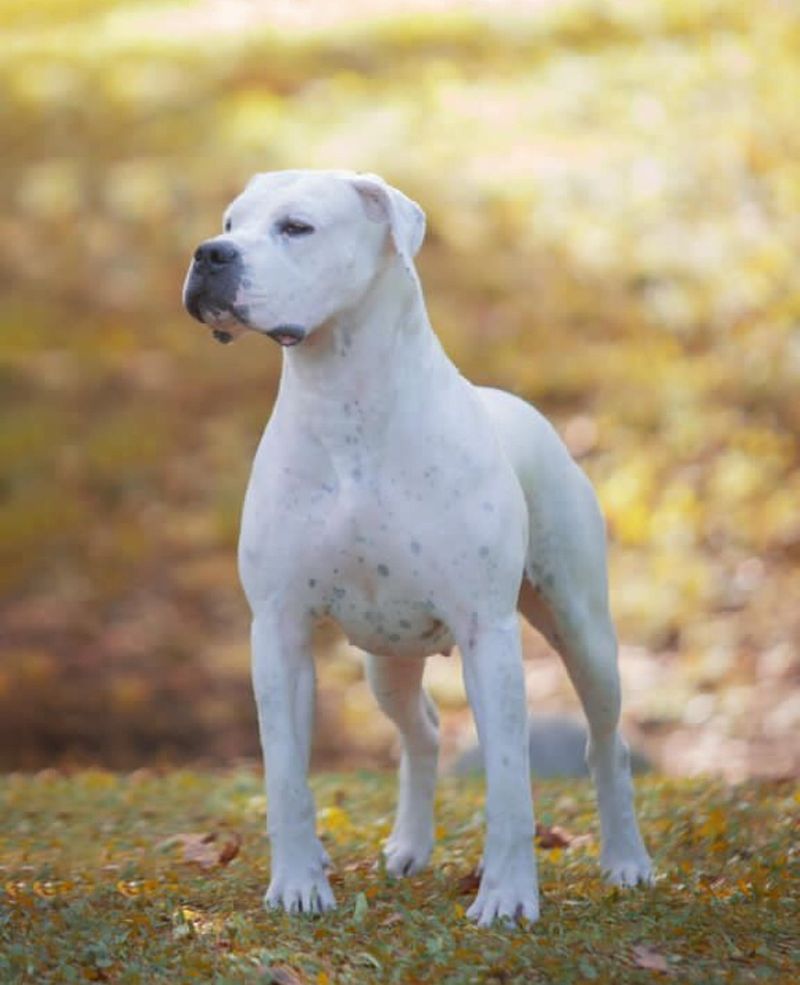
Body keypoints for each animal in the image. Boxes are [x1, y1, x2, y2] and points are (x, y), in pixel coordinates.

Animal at [183, 169, 648, 924]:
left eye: (295, 227)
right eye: (229, 221)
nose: (208, 254)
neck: (344, 400)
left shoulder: (488, 634)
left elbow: (510, 779)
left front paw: (507, 896)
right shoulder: (279, 630)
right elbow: (286, 775)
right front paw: (298, 883)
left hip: (584, 634)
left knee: (607, 742)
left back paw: (627, 860)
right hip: (386, 659)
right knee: (423, 729)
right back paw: (409, 846)